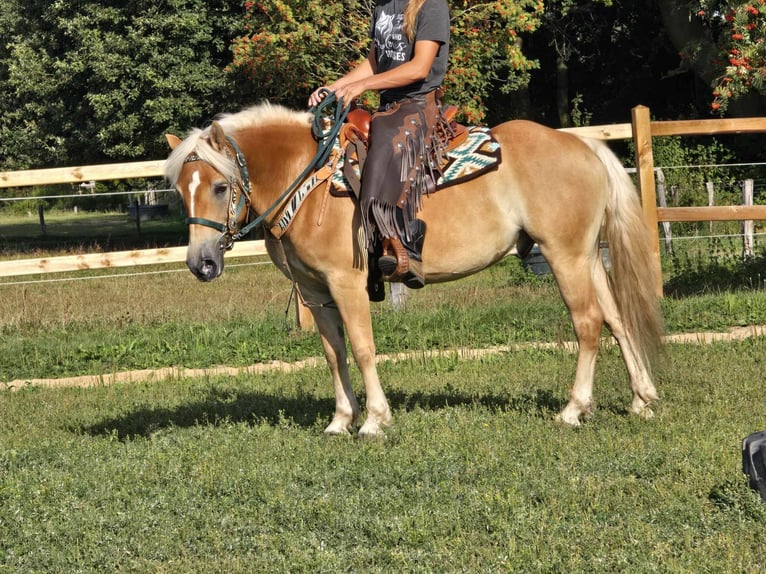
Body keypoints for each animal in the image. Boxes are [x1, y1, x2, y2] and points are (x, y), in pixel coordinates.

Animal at [165, 101, 664, 438]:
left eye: (219, 186)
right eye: (179, 190)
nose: (200, 263)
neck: (308, 182)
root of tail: (582, 144)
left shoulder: (346, 284)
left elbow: (363, 348)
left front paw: (374, 420)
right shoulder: (315, 293)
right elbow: (333, 353)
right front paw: (340, 420)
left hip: (564, 256)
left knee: (588, 323)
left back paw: (574, 409)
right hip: (587, 257)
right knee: (617, 319)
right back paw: (641, 399)